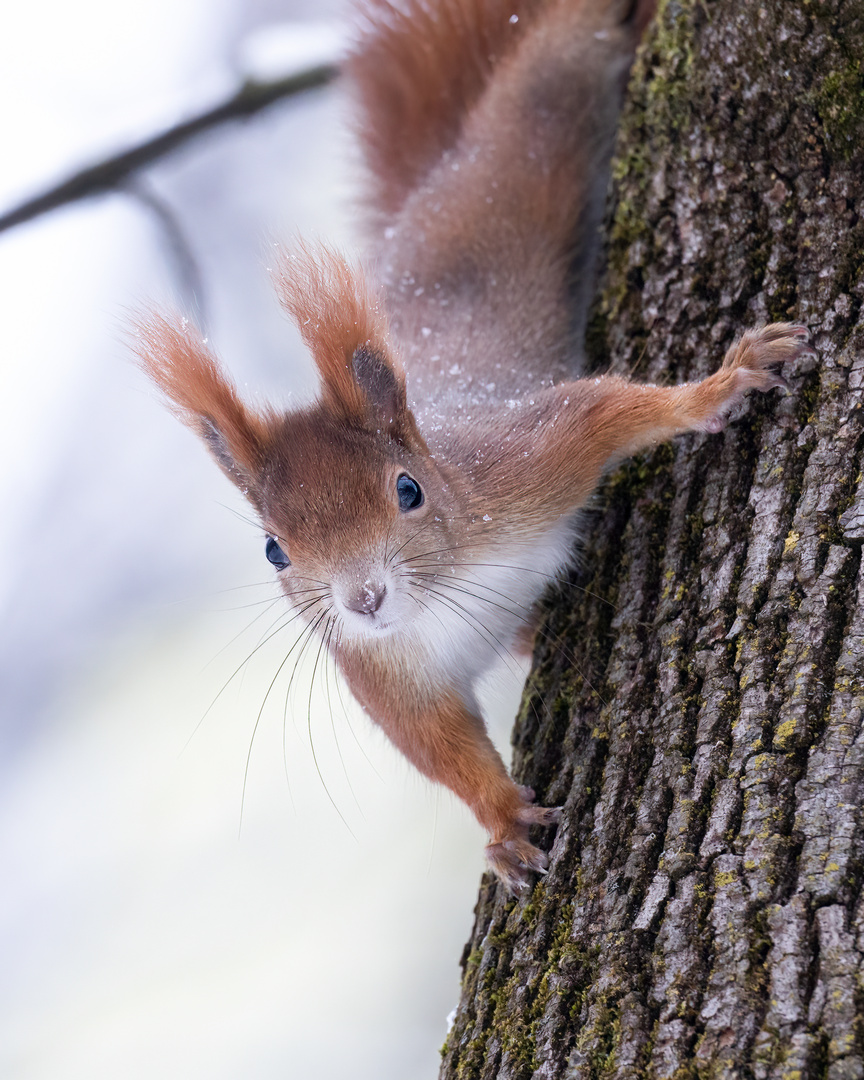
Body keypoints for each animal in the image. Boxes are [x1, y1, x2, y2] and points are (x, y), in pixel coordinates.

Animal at [133, 0, 812, 894]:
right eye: (275, 550)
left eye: (409, 490)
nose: (363, 600)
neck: (446, 592)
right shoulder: (383, 678)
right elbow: (442, 749)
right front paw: (504, 824)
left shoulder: (524, 456)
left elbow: (608, 407)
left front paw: (719, 386)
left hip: (531, 132)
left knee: (560, 53)